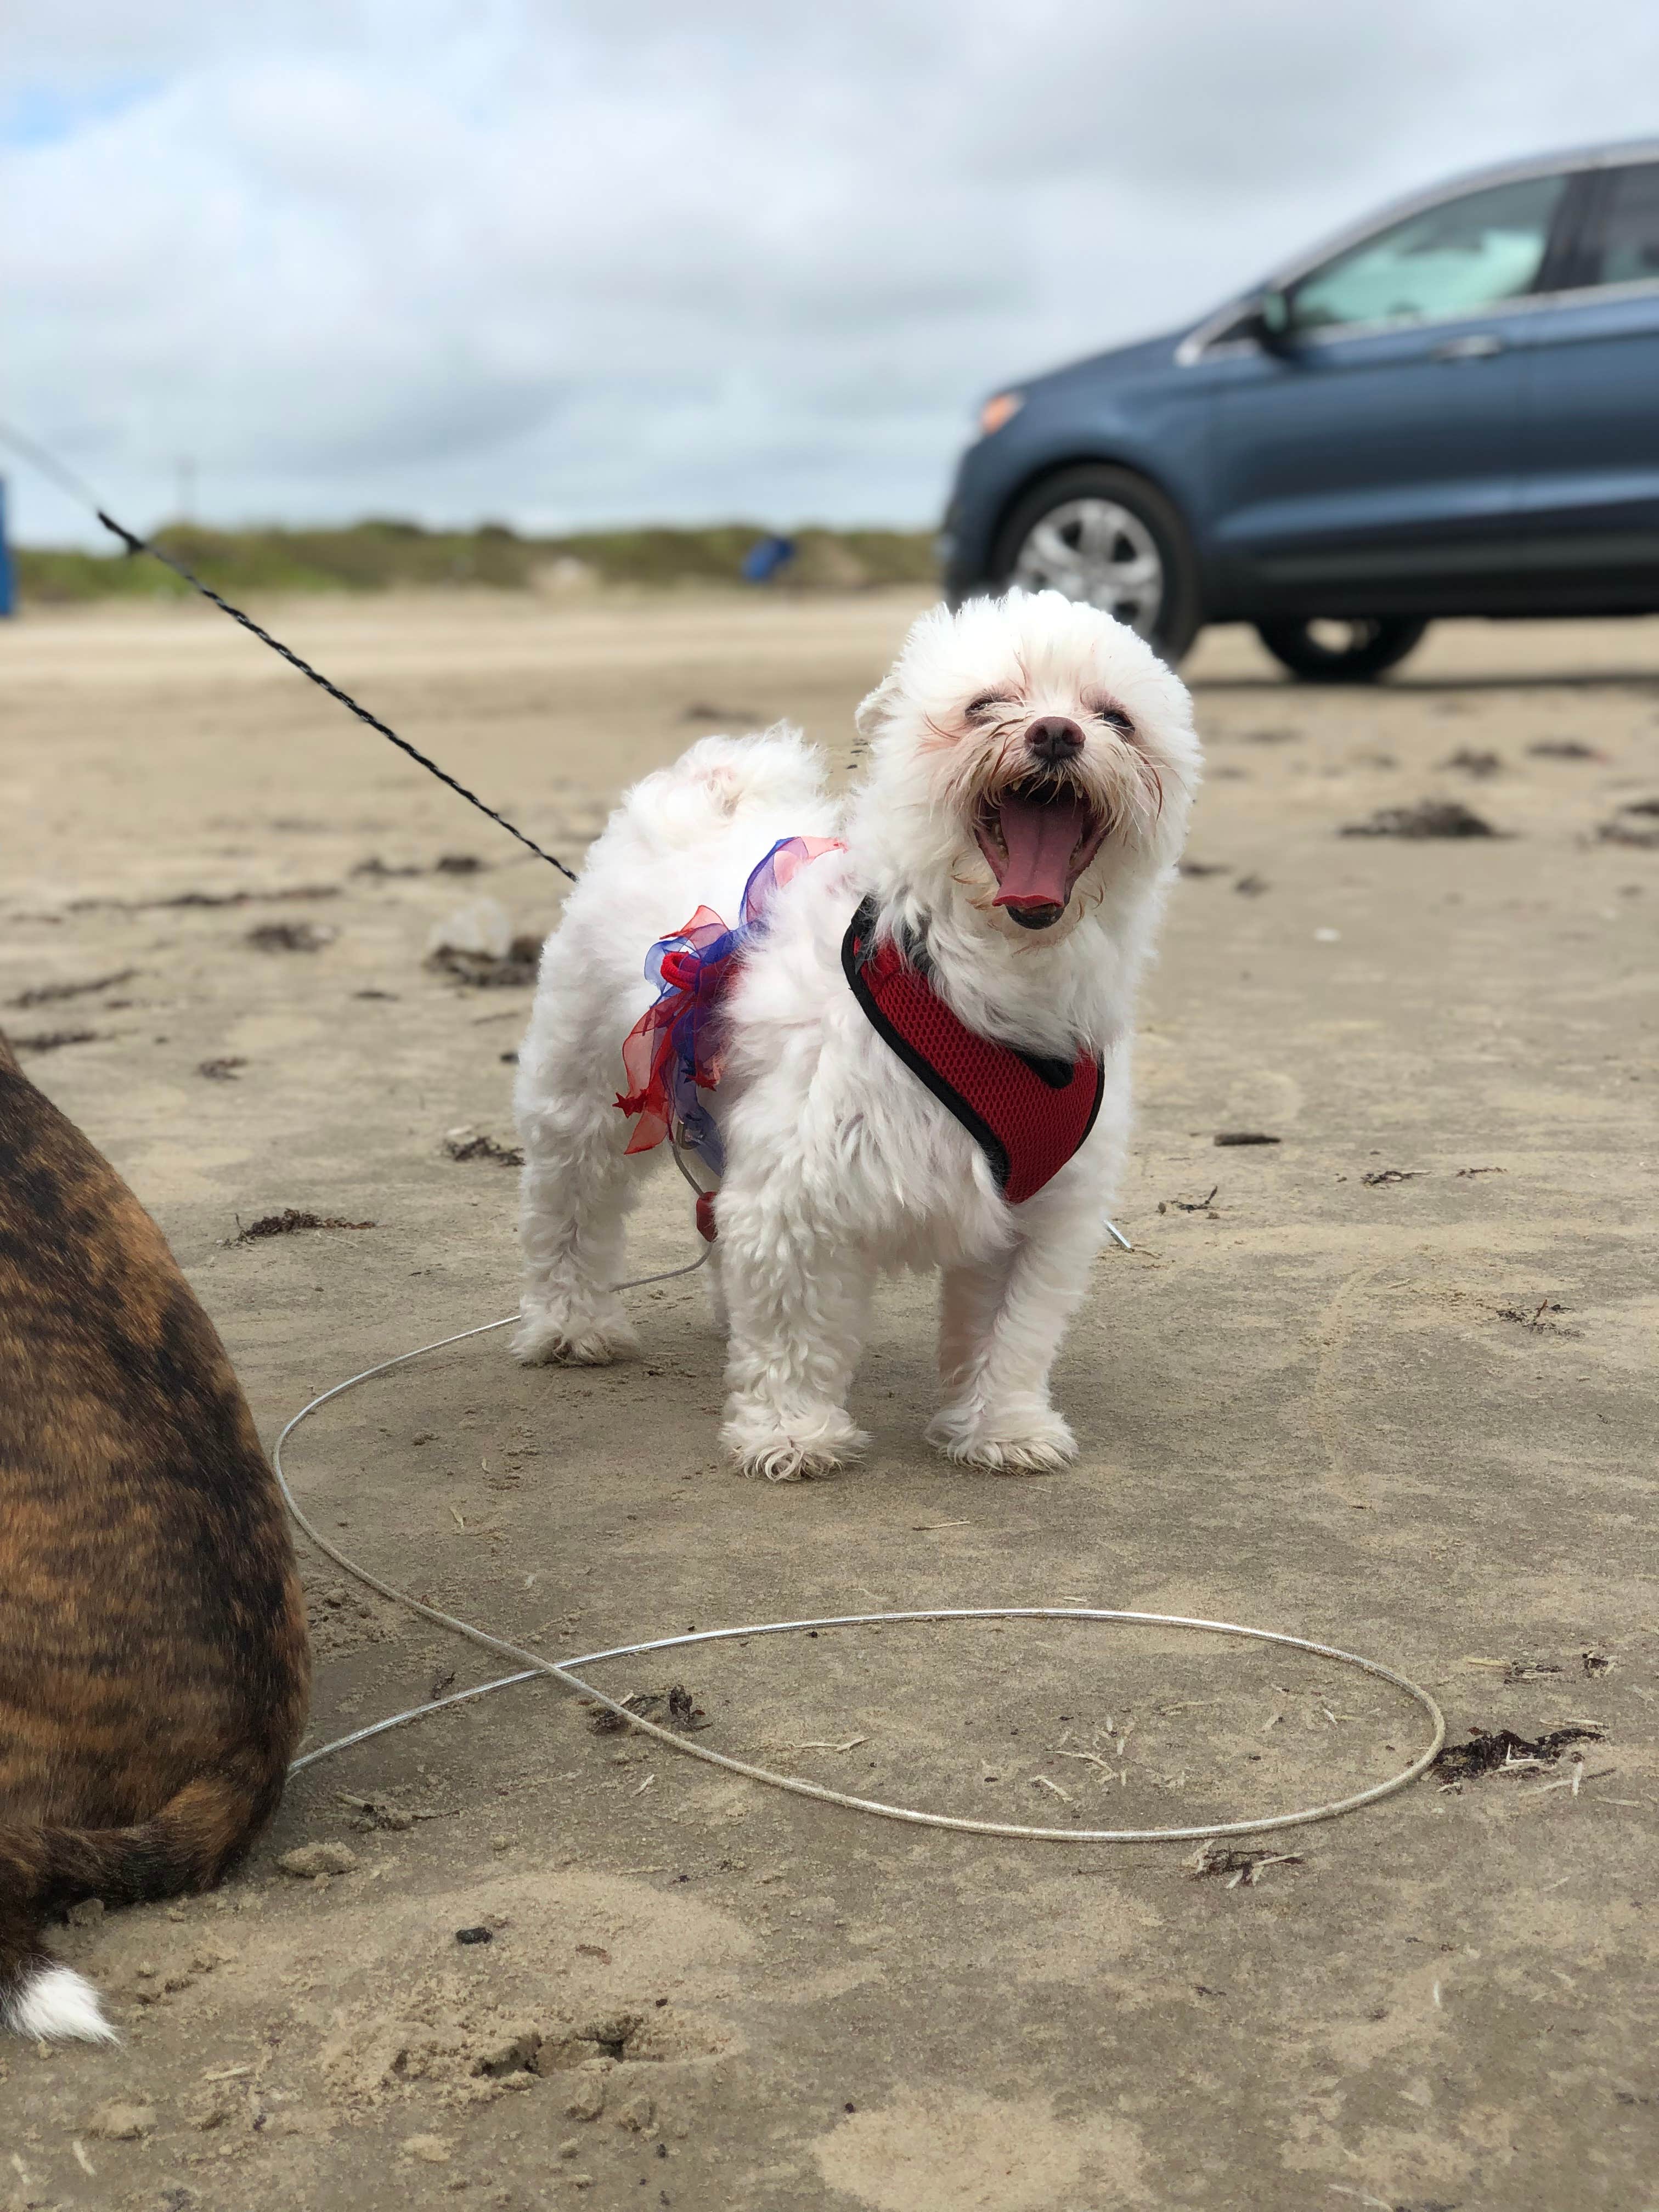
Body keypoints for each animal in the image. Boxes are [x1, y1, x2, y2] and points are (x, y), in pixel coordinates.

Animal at [513, 597, 1203, 1477]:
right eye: (984, 706)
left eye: (1114, 717)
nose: (1057, 732)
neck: (979, 984)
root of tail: (707, 796)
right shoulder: (799, 1193)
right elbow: (795, 1331)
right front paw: (790, 1433)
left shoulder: (1041, 1210)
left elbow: (1011, 1332)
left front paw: (1001, 1427)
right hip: (586, 1095)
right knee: (568, 1209)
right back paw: (571, 1324)